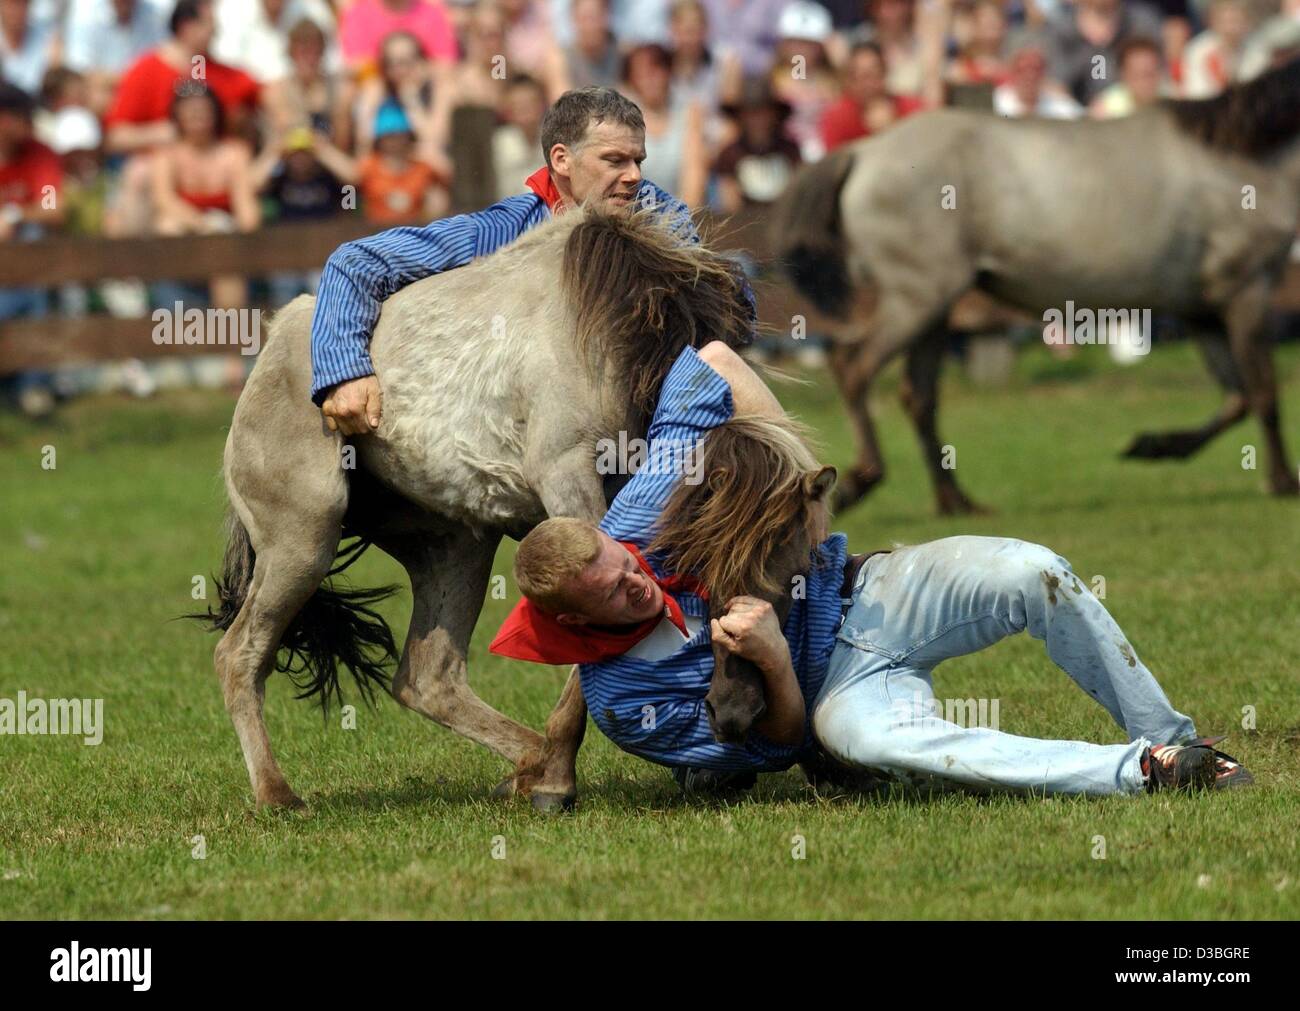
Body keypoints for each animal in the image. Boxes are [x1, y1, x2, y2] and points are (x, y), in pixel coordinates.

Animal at [194, 206, 756, 811]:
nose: (736, 719)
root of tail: (273, 346)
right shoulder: (571, 483)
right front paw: (557, 781)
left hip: (456, 545)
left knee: (427, 678)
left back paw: (528, 763)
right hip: (302, 542)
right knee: (239, 654)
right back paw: (278, 795)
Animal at [771, 55, 1300, 514]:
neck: (1236, 160)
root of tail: (864, 152)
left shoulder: (1202, 309)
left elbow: (1238, 397)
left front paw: (1154, 445)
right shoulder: (1247, 292)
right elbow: (1264, 394)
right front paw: (1282, 482)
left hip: (933, 310)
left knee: (918, 396)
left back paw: (955, 501)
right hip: (916, 300)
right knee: (853, 367)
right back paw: (860, 480)